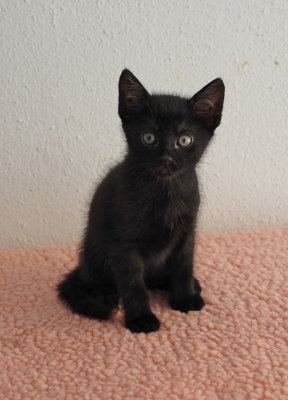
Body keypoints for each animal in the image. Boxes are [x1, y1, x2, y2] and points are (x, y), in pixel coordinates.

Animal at [57, 69, 225, 334]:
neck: (163, 192)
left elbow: (184, 265)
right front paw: (141, 319)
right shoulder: (123, 244)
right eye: (149, 137)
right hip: (94, 262)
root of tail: (82, 270)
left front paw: (185, 298)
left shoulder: (187, 230)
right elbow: (132, 283)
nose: (166, 159)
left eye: (184, 140)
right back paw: (106, 297)